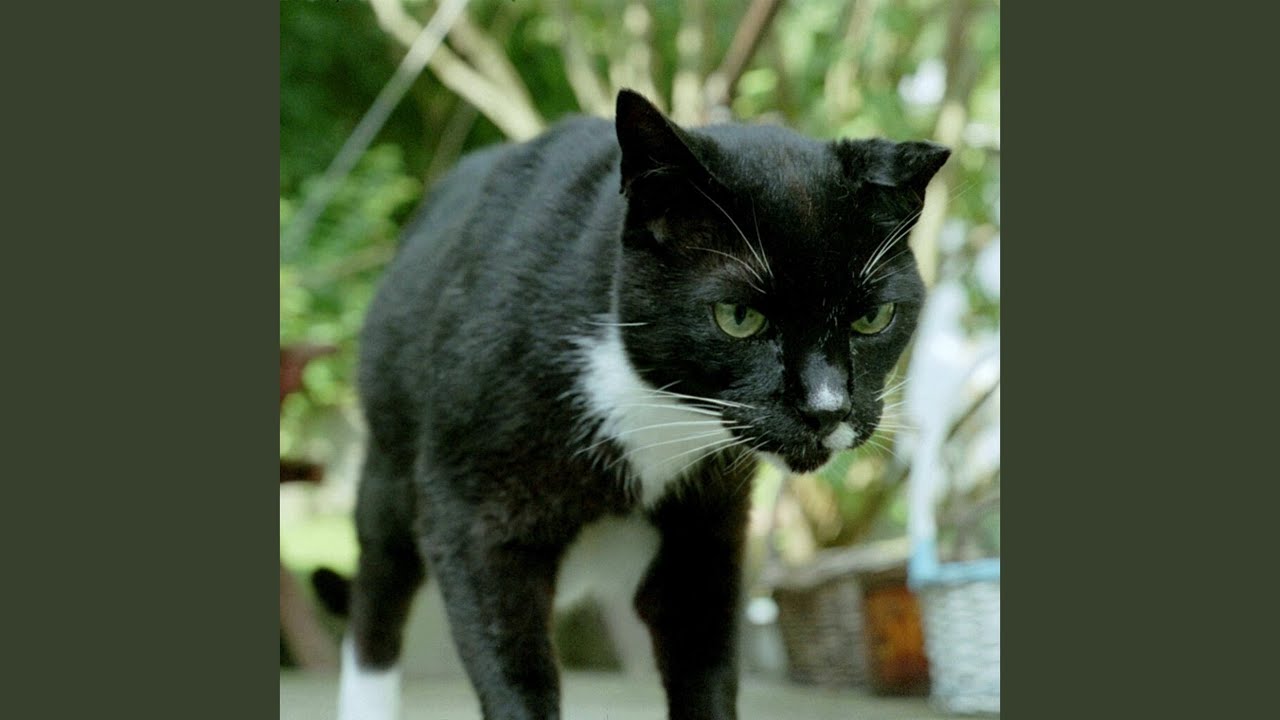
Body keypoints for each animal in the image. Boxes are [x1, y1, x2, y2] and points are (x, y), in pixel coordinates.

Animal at [337, 89, 948, 720]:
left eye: (873, 317)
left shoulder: (707, 526)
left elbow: (704, 660)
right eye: (738, 317)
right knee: (378, 594)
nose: (827, 409)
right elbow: (509, 663)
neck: (651, 412)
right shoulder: (471, 509)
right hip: (388, 466)